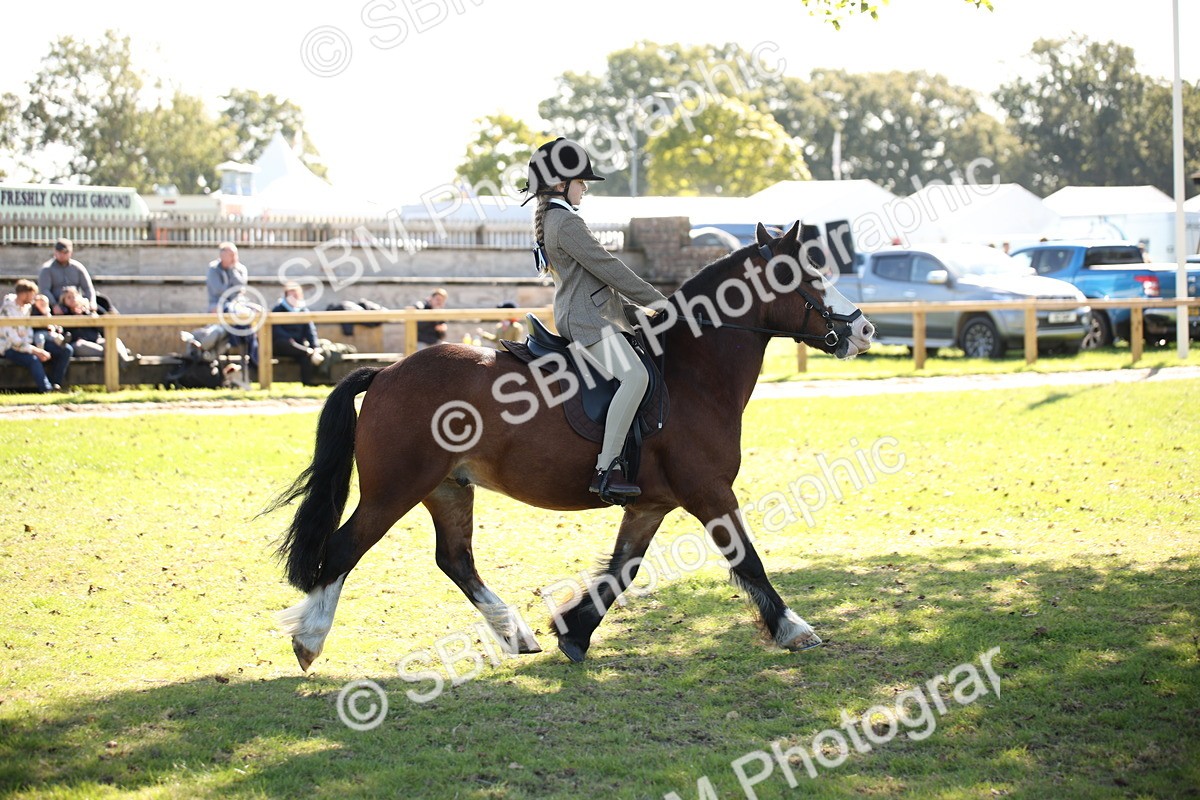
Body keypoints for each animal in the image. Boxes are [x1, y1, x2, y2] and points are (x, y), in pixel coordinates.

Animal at [270, 221, 875, 670]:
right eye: (808, 276)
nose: (863, 330)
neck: (693, 372)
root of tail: (387, 371)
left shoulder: (651, 504)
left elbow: (623, 568)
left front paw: (573, 631)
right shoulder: (709, 491)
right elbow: (747, 558)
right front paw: (793, 628)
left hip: (448, 488)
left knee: (456, 560)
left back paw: (516, 634)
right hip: (393, 489)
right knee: (344, 549)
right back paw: (309, 642)